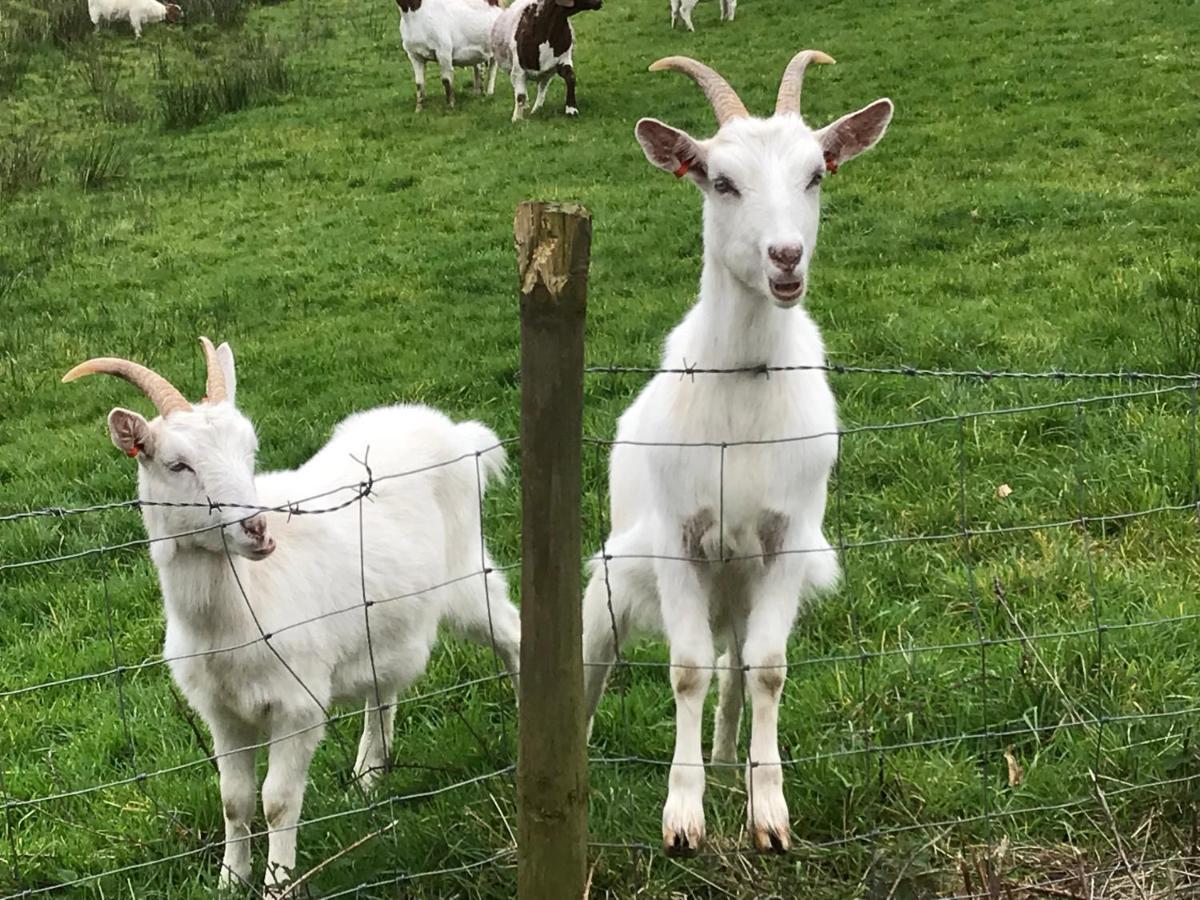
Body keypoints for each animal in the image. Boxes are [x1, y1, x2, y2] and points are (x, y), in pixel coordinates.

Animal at [62, 340, 520, 897]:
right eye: (177, 464)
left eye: (250, 451)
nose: (257, 529)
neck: (235, 614)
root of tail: (455, 432)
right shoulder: (222, 712)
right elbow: (233, 799)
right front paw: (230, 879)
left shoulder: (298, 705)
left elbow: (277, 801)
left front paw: (277, 884)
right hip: (384, 619)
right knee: (384, 685)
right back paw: (368, 777)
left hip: (466, 576)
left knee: (513, 633)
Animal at [576, 51, 897, 859]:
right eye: (720, 181)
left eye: (816, 173)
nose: (786, 257)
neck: (744, 386)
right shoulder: (679, 539)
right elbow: (686, 670)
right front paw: (682, 818)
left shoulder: (784, 540)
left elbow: (768, 670)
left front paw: (768, 812)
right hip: (613, 582)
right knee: (593, 669)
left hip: (738, 587)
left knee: (735, 662)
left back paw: (726, 762)